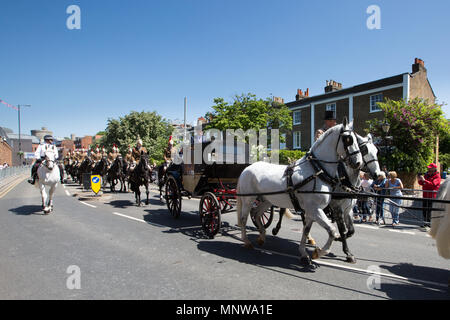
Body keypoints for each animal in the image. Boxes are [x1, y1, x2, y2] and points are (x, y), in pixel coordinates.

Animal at [237, 120, 364, 264]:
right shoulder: (315, 209)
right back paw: (247, 241)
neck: (317, 170)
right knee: (244, 218)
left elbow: (306, 230)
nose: (358, 163)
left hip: (267, 200)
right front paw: (319, 252)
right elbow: (332, 231)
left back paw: (262, 236)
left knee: (256, 213)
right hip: (248, 199)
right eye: (348, 139)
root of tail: (247, 168)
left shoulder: (311, 211)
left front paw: (304, 254)